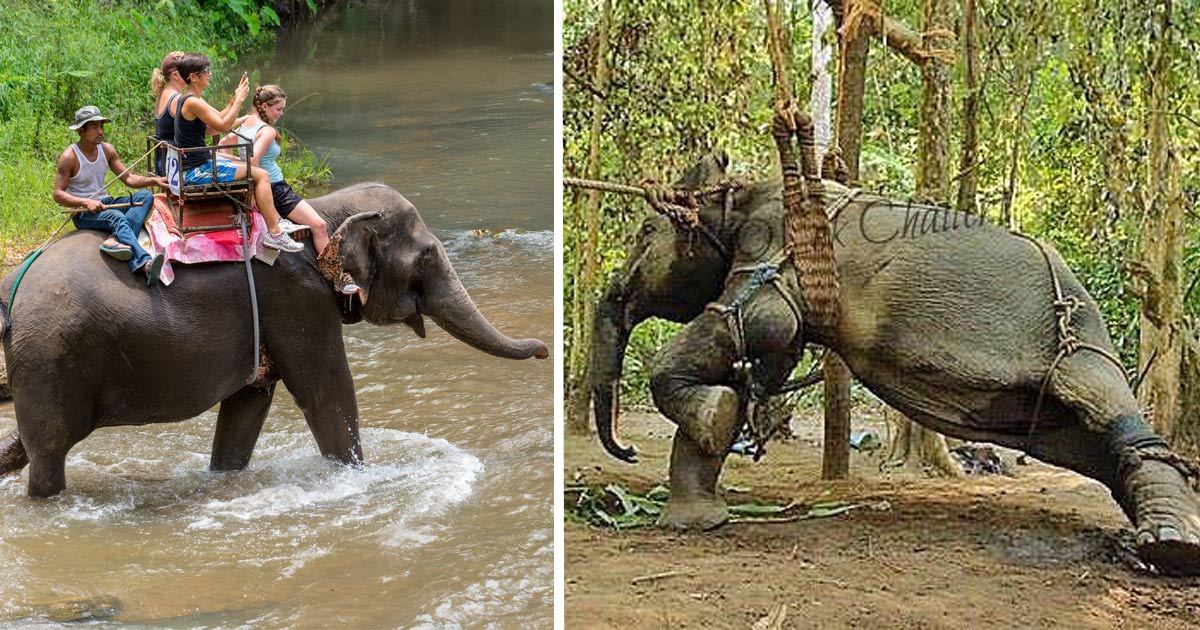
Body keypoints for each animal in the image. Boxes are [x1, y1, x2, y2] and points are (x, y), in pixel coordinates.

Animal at [0, 182, 547, 498]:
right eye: (428, 256)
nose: (543, 349)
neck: (322, 210)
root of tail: (14, 288)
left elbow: (248, 406)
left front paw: (224, 479)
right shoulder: (297, 300)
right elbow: (327, 393)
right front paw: (358, 480)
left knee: (27, 443)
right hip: (50, 355)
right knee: (48, 450)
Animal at [589, 155, 1200, 576]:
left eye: (644, 233)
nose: (628, 449)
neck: (744, 189)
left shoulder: (772, 252)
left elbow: (764, 326)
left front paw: (710, 421)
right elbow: (763, 363)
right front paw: (699, 513)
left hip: (1079, 345)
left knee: (1108, 412)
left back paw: (1172, 547)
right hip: (1044, 402)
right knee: (1092, 444)